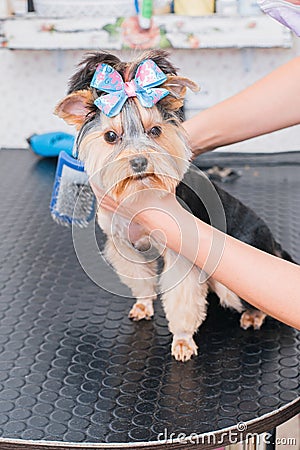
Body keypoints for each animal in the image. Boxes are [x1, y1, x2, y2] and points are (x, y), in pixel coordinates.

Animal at [54, 51, 292, 362]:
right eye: (110, 136)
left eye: (155, 130)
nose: (139, 161)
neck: (139, 192)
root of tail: (274, 245)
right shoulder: (124, 244)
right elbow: (142, 280)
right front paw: (144, 304)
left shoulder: (183, 256)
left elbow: (182, 299)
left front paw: (182, 340)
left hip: (234, 279)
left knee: (255, 302)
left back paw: (253, 316)